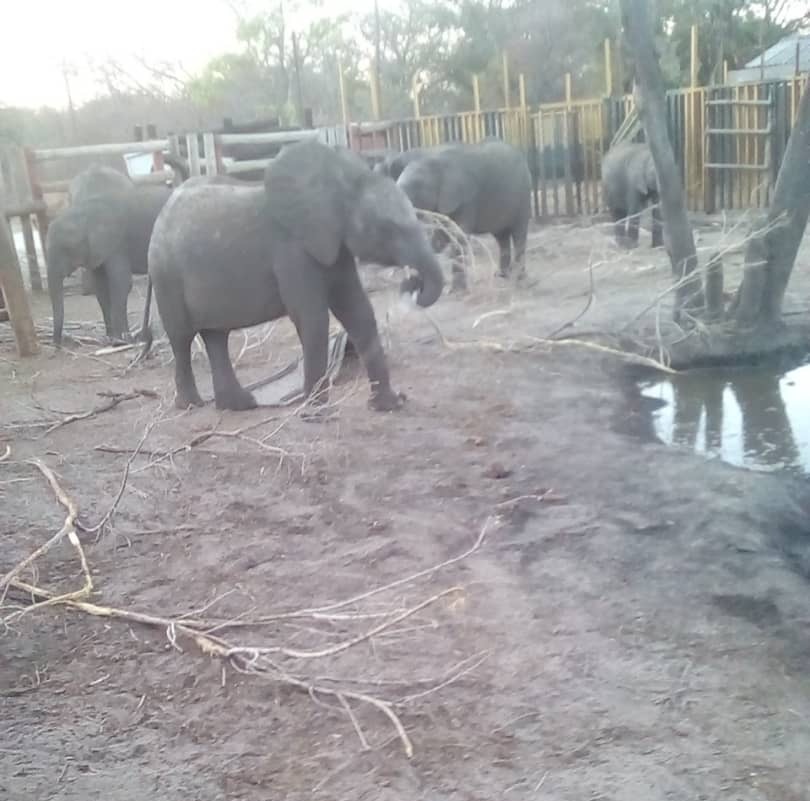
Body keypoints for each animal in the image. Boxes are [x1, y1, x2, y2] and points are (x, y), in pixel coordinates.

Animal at [47, 158, 188, 346]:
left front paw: (123, 340)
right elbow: (100, 287)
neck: (86, 212)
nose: (59, 344)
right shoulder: (97, 251)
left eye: (66, 249)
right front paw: (110, 338)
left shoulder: (117, 243)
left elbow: (120, 283)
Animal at [148, 138, 446, 412]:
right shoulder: (291, 250)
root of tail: (162, 212)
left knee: (216, 336)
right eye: (388, 228)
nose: (412, 283)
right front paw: (316, 411)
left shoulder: (334, 246)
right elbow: (312, 318)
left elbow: (358, 311)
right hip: (166, 274)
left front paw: (390, 404)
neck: (338, 186)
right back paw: (191, 404)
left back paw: (239, 404)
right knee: (182, 337)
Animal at [392, 140, 532, 290]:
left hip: (523, 196)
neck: (436, 163)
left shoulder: (467, 199)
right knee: (501, 237)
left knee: (519, 234)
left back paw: (519, 278)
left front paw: (456, 290)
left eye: (416, 187)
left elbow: (459, 237)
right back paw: (502, 275)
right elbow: (441, 236)